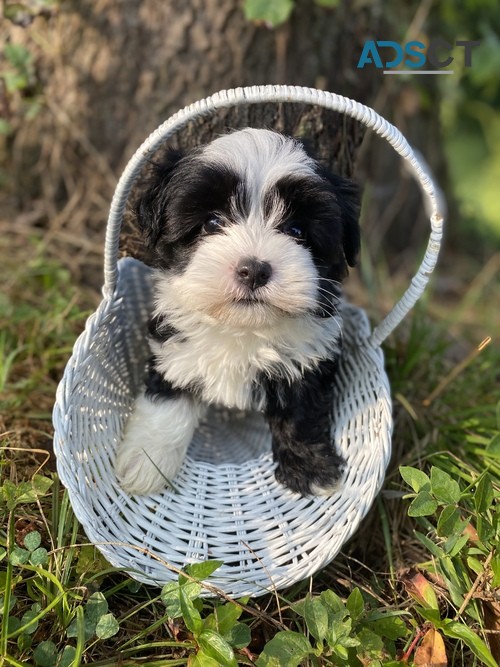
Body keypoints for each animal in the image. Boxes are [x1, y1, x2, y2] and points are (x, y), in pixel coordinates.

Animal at [114, 129, 360, 496]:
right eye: (212, 223)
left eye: (297, 231)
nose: (254, 270)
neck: (242, 327)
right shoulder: (175, 348)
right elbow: (167, 401)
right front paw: (146, 460)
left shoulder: (308, 357)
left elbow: (301, 412)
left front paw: (312, 469)